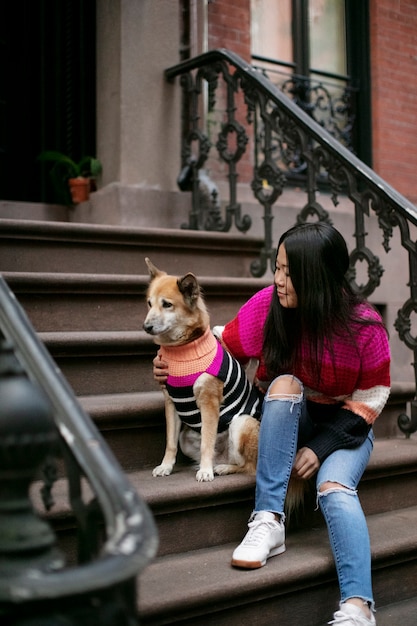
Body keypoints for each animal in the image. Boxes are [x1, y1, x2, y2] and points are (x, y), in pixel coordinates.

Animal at [143, 256, 260, 480]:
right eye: (149, 303)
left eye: (167, 304)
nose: (146, 327)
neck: (183, 350)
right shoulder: (171, 403)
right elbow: (170, 443)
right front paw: (166, 466)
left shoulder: (209, 402)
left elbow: (207, 440)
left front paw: (205, 472)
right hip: (186, 437)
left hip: (241, 423)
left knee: (249, 466)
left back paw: (220, 468)